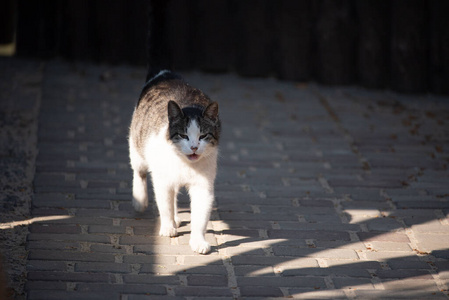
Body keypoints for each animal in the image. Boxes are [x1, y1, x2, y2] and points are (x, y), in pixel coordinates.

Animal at [128, 69, 220, 253]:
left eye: (203, 136)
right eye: (183, 135)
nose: (194, 147)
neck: (186, 165)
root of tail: (165, 73)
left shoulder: (203, 186)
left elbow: (200, 216)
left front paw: (198, 241)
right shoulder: (162, 181)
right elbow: (165, 205)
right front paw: (168, 227)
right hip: (137, 145)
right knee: (139, 171)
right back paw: (140, 200)